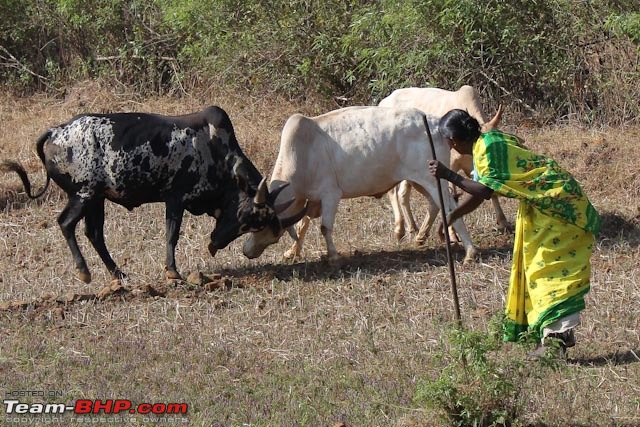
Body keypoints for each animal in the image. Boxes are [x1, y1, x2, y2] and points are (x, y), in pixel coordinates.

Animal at [0, 105, 304, 282]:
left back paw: (118, 273)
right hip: (83, 195)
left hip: (96, 199)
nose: (214, 243)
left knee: (94, 234)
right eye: (243, 217)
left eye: (252, 227)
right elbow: (171, 235)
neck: (216, 149)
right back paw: (84, 271)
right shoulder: (176, 199)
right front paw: (172, 271)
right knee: (66, 224)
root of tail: (56, 131)